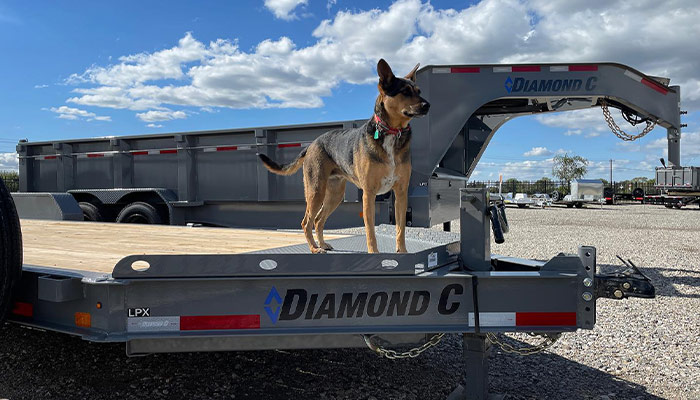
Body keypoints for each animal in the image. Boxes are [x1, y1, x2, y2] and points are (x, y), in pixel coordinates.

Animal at [258, 59, 430, 253]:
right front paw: (374, 252)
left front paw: (403, 252)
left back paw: (322, 244)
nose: (427, 105)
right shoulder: (369, 194)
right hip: (316, 192)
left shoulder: (401, 193)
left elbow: (400, 228)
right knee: (306, 222)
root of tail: (312, 144)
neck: (391, 132)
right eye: (405, 92)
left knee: (318, 220)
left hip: (335, 195)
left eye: (419, 92)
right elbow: (370, 231)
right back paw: (314, 248)